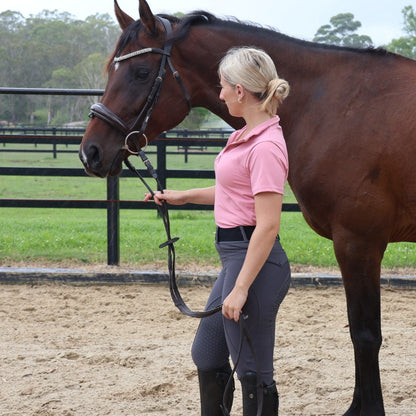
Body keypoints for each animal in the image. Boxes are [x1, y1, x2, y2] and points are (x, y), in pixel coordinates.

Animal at [80, 1, 416, 414]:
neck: (334, 106)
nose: (90, 151)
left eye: (141, 72)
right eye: (112, 69)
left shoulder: (359, 242)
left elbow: (365, 335)